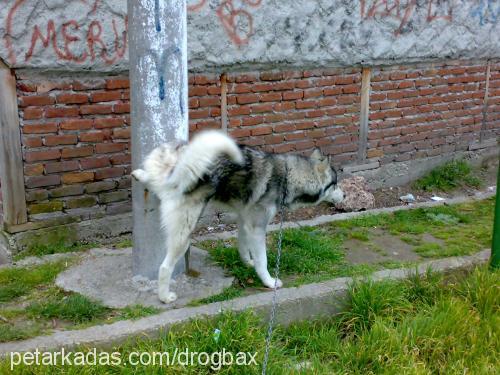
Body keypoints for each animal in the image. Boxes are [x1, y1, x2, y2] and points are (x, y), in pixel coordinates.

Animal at [132, 131, 344, 304]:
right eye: (335, 184)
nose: (344, 195)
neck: (287, 176)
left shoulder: (244, 221)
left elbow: (243, 247)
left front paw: (247, 262)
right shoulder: (257, 228)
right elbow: (262, 260)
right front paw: (269, 282)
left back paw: (140, 174)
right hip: (183, 236)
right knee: (164, 268)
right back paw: (164, 297)